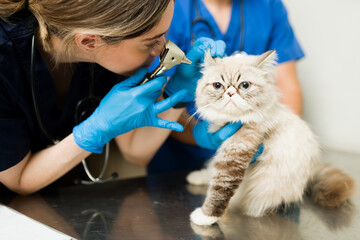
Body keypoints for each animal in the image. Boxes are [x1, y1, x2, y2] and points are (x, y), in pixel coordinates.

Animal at [188, 49, 354, 226]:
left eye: (244, 85)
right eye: (218, 86)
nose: (230, 93)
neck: (233, 120)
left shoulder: (234, 155)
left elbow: (219, 190)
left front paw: (204, 217)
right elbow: (214, 176)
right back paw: (196, 177)